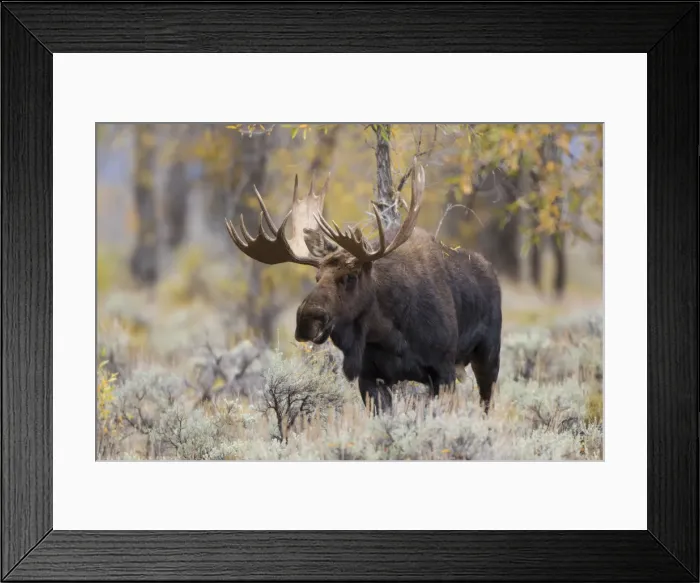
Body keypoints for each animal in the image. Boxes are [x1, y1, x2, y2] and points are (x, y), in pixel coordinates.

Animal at [225, 160, 502, 415]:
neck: (389, 333)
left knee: (487, 403)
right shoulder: (369, 378)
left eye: (351, 276)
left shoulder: (443, 371)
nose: (306, 320)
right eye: (317, 277)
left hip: (488, 355)